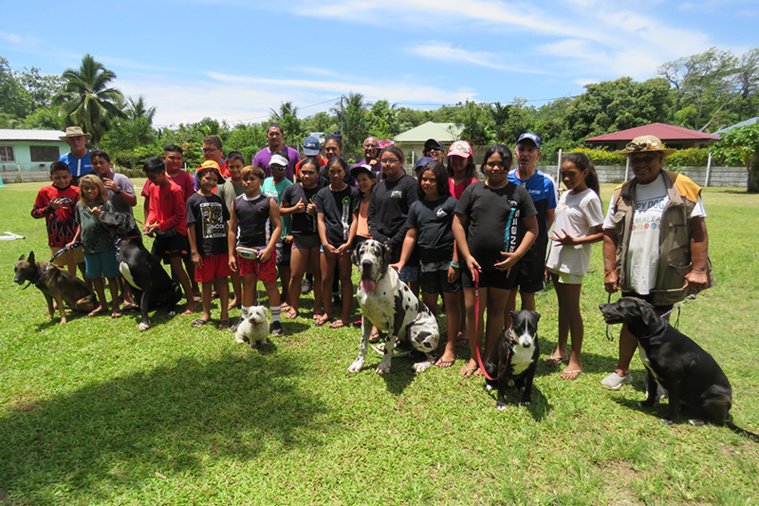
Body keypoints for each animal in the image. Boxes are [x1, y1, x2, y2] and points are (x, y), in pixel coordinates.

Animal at [350, 239, 440, 374]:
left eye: (376, 253)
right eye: (361, 252)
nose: (366, 263)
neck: (375, 287)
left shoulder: (396, 318)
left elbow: (389, 344)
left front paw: (384, 365)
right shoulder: (366, 318)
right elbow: (363, 343)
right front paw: (358, 363)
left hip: (414, 330)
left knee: (433, 356)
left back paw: (421, 364)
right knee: (402, 345)